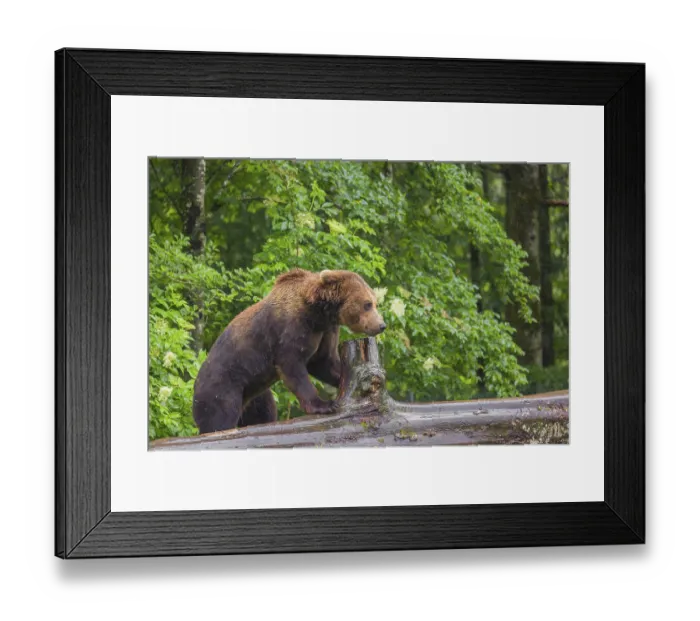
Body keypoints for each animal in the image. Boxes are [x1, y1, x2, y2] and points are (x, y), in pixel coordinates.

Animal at [192, 268, 386, 434]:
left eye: (375, 303)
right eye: (367, 304)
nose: (381, 325)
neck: (318, 314)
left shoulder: (326, 330)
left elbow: (324, 361)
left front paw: (344, 379)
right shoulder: (292, 328)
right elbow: (293, 365)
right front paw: (324, 405)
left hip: (255, 396)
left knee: (263, 412)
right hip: (224, 385)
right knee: (219, 418)